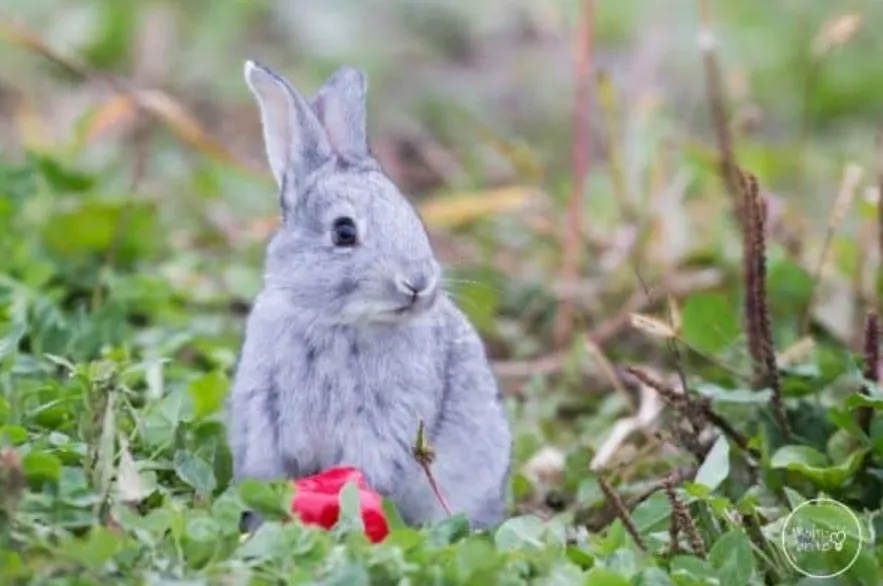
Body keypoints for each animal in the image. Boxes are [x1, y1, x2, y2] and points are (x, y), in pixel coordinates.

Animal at [226, 60, 512, 531]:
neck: (336, 320)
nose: (417, 283)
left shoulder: (382, 427)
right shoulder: (265, 421)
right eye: (344, 232)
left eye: (414, 219)